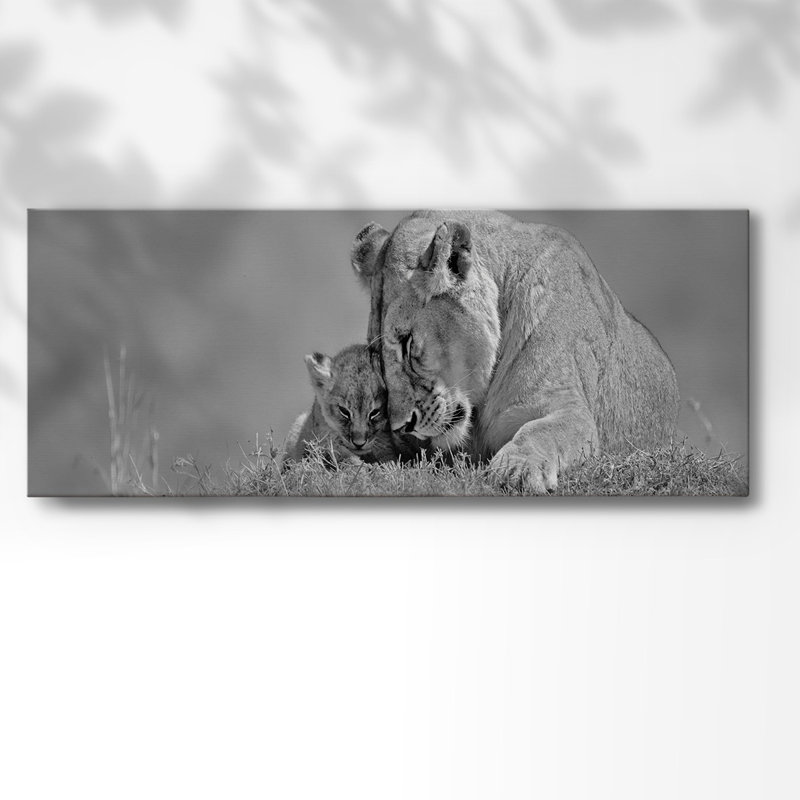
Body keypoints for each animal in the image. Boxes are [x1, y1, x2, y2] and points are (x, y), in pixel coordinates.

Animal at [350, 210, 680, 492]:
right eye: (377, 355)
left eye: (407, 343)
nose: (401, 427)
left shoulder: (567, 406)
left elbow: (541, 431)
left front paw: (517, 469)